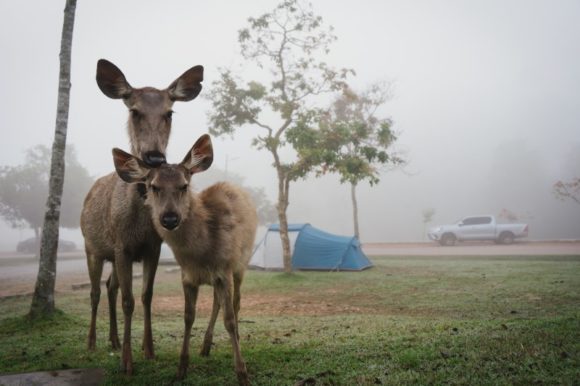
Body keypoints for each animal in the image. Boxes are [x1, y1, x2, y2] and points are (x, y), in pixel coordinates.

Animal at [81, 59, 204, 374]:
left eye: (169, 112)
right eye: (133, 110)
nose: (154, 157)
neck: (137, 224)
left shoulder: (152, 247)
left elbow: (147, 296)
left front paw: (148, 350)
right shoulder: (122, 247)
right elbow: (129, 300)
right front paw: (127, 362)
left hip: (110, 254)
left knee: (109, 287)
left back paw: (112, 340)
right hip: (92, 247)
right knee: (95, 291)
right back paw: (92, 343)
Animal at [112, 134, 258, 384]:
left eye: (184, 185)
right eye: (153, 186)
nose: (170, 218)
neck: (201, 254)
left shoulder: (225, 270)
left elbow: (229, 318)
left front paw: (242, 374)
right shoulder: (187, 276)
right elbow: (188, 317)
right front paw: (181, 369)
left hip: (241, 264)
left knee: (236, 302)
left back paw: (234, 336)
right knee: (217, 301)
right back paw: (206, 346)